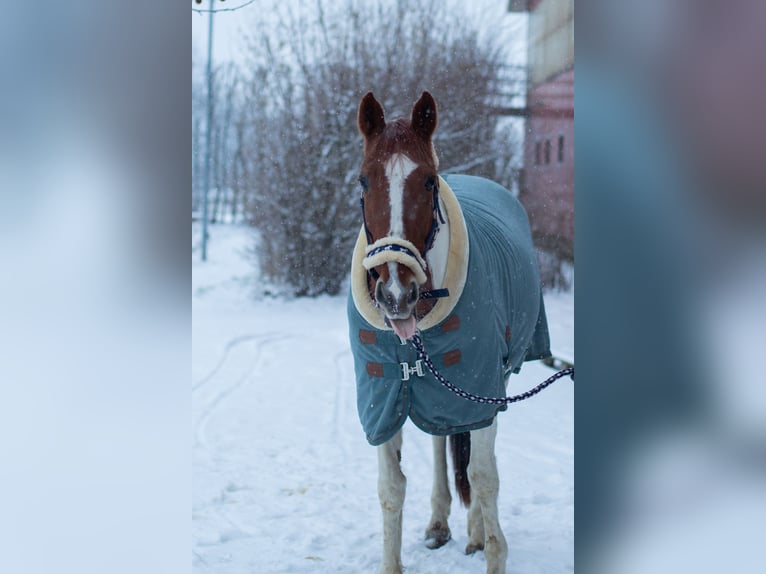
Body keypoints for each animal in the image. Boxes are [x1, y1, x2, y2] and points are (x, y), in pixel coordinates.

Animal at [348, 92, 552, 572]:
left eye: (428, 182)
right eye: (364, 181)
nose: (395, 293)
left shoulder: (481, 389)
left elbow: (483, 474)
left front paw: (493, 549)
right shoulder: (382, 398)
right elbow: (391, 488)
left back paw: (475, 532)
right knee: (442, 439)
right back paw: (440, 523)